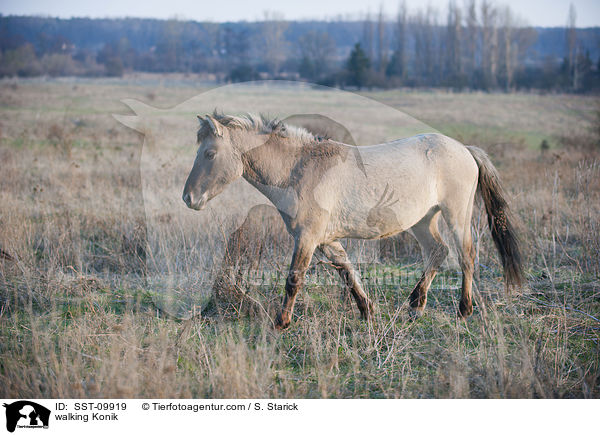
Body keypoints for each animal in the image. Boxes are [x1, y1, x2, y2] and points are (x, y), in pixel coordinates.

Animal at [182, 112, 520, 330]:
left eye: (210, 153)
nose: (188, 198)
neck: (299, 169)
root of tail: (465, 150)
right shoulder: (327, 241)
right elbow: (347, 273)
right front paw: (367, 312)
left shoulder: (307, 238)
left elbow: (294, 280)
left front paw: (281, 322)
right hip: (423, 220)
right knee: (438, 252)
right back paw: (415, 306)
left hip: (456, 214)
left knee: (466, 255)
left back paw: (464, 310)